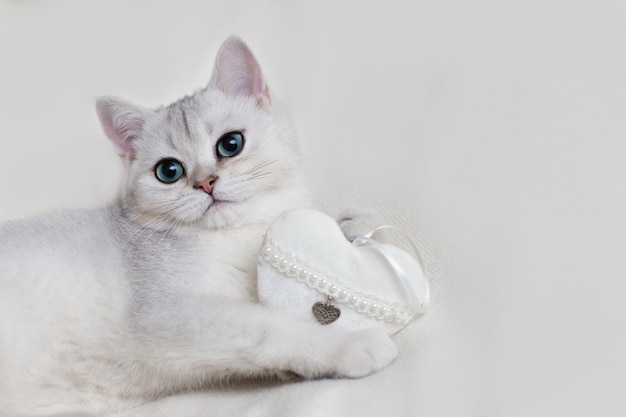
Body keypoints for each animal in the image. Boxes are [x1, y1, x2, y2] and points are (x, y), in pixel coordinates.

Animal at [0, 37, 394, 414]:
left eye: (231, 144)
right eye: (168, 171)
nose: (205, 183)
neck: (241, 233)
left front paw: (353, 224)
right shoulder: (169, 315)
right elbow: (270, 328)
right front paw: (348, 343)